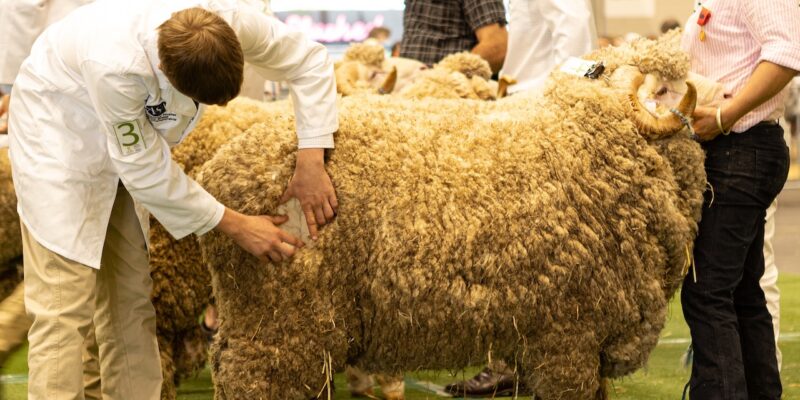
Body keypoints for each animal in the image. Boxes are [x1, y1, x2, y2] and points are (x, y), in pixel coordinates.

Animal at [195, 31, 707, 399]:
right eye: (665, 88)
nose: (714, 95)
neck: (590, 135)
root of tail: (218, 170)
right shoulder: (568, 336)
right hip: (280, 321)